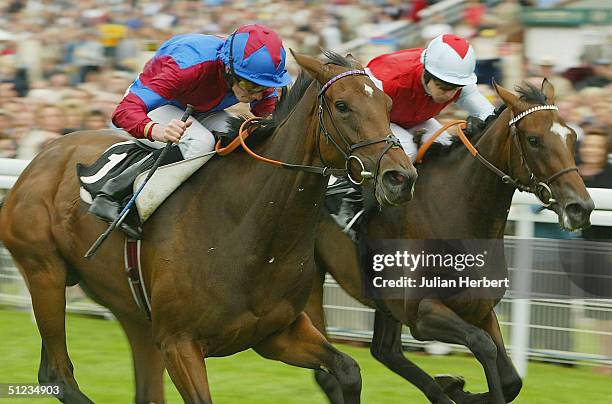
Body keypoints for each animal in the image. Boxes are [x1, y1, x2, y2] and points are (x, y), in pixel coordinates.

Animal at [0, 52, 416, 402]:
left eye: (388, 105)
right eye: (342, 106)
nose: (401, 177)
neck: (252, 235)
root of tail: (42, 156)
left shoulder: (276, 333)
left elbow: (347, 370)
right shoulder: (179, 342)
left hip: (133, 314)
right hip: (45, 273)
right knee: (58, 374)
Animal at [304, 79, 592, 404]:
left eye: (571, 136)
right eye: (534, 140)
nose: (581, 207)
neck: (458, 214)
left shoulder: (480, 309)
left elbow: (511, 381)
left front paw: (453, 386)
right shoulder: (422, 312)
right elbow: (483, 345)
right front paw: (453, 385)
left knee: (385, 351)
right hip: (311, 278)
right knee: (330, 368)